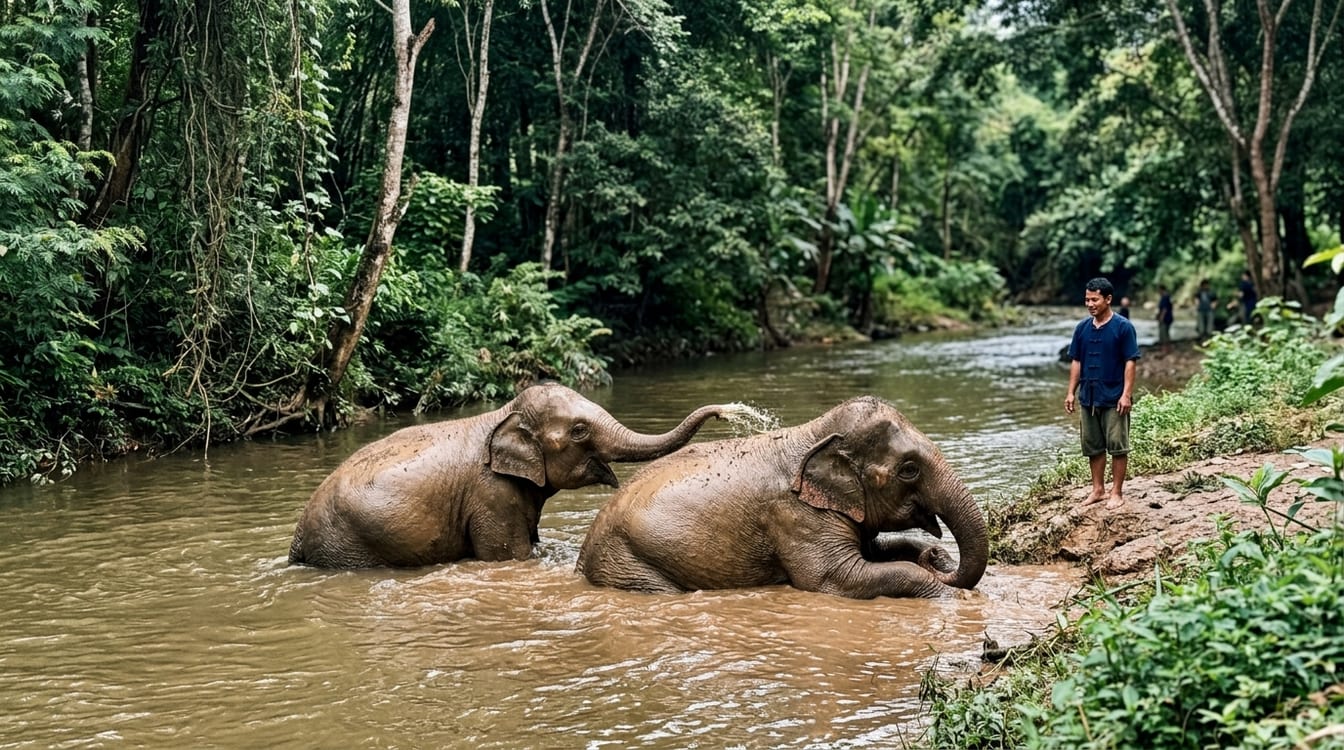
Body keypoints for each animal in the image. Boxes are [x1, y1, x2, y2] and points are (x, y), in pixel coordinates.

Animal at [288, 383, 743, 569]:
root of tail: (298, 535)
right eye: (580, 431)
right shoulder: (491, 495)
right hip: (349, 546)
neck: (503, 412)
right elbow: (511, 556)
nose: (726, 409)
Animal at [576, 396, 988, 599]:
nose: (940, 560)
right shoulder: (795, 517)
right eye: (909, 469)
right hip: (626, 562)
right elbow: (837, 578)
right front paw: (955, 597)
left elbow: (879, 551)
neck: (813, 431)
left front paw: (931, 557)